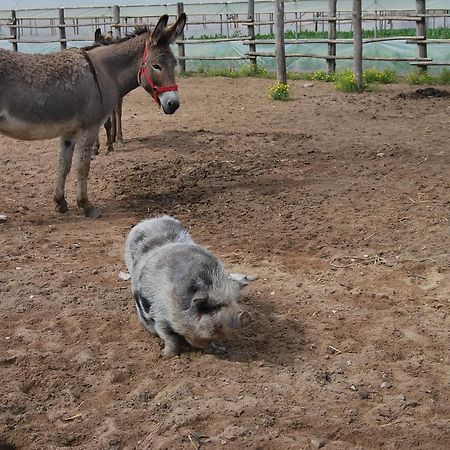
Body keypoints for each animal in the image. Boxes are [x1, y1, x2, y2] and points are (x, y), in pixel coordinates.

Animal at [125, 216, 255, 356]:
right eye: (214, 307)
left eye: (235, 301)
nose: (245, 315)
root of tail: (149, 221)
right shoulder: (159, 315)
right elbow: (170, 338)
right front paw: (166, 355)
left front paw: (219, 350)